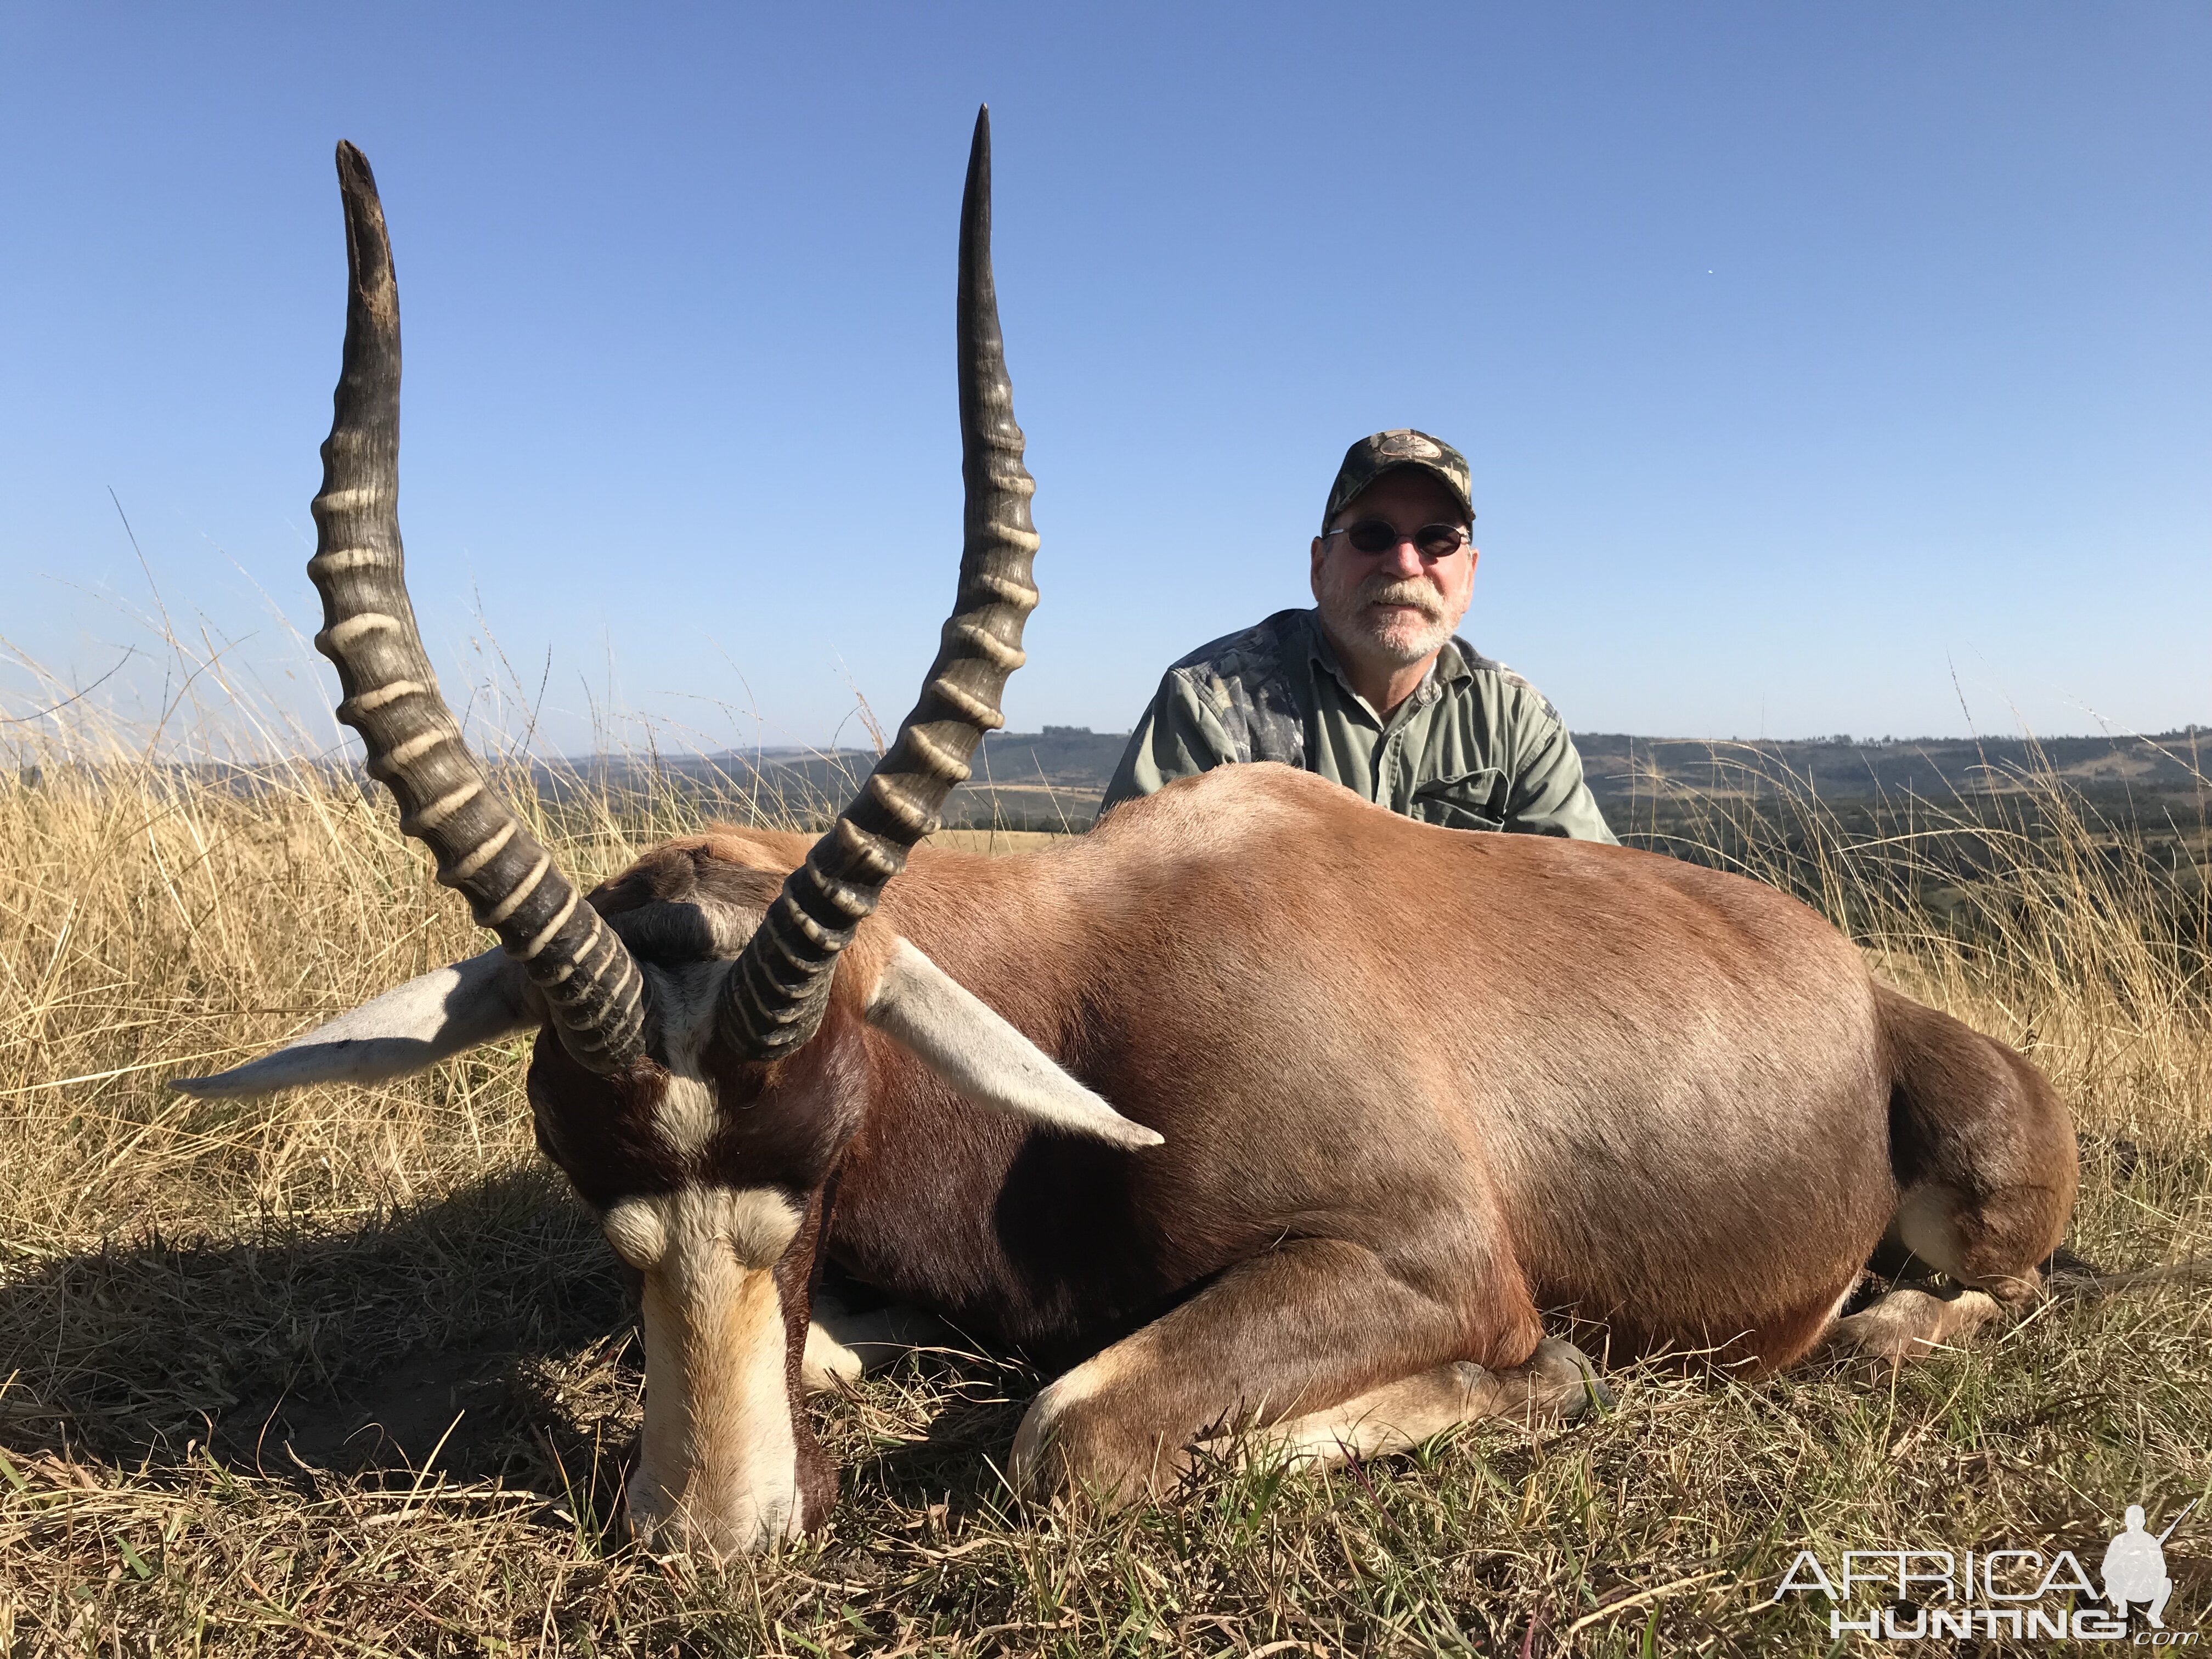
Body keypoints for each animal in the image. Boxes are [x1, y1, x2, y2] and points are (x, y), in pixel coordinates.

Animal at [172, 117, 2070, 1557]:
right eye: (589, 1174)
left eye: (823, 1150)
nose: (717, 1535)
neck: (1077, 990)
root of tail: (1856, 988)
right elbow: (876, 1363)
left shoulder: (1421, 1258)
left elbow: (1070, 1434)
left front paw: (1541, 1382)